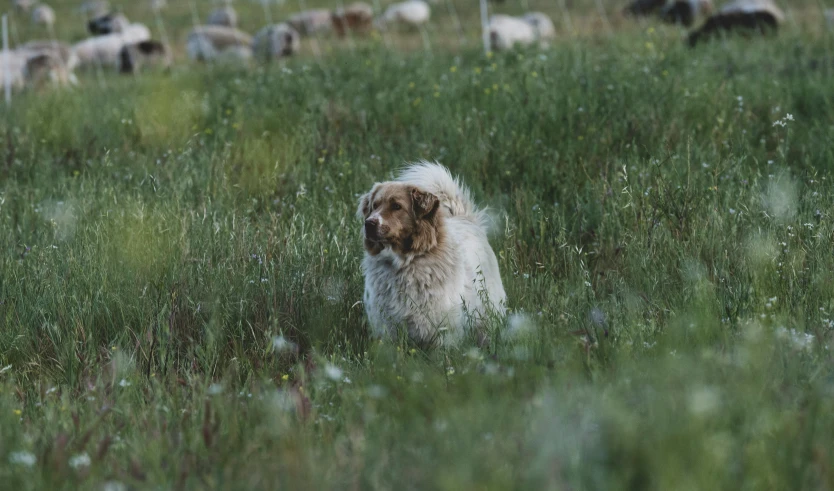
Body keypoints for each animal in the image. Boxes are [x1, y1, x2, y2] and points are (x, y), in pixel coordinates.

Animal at [354, 161, 504, 346]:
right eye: (374, 206)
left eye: (397, 206)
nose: (369, 224)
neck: (405, 262)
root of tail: (464, 218)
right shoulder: (386, 325)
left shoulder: (442, 328)